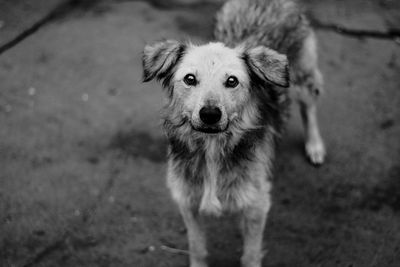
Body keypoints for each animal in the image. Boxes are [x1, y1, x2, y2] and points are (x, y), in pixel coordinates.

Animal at [142, 0, 326, 267]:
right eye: (189, 79)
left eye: (232, 81)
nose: (210, 114)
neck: (212, 148)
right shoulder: (188, 202)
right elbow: (197, 248)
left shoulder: (257, 206)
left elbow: (250, 254)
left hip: (302, 76)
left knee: (309, 106)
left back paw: (315, 146)